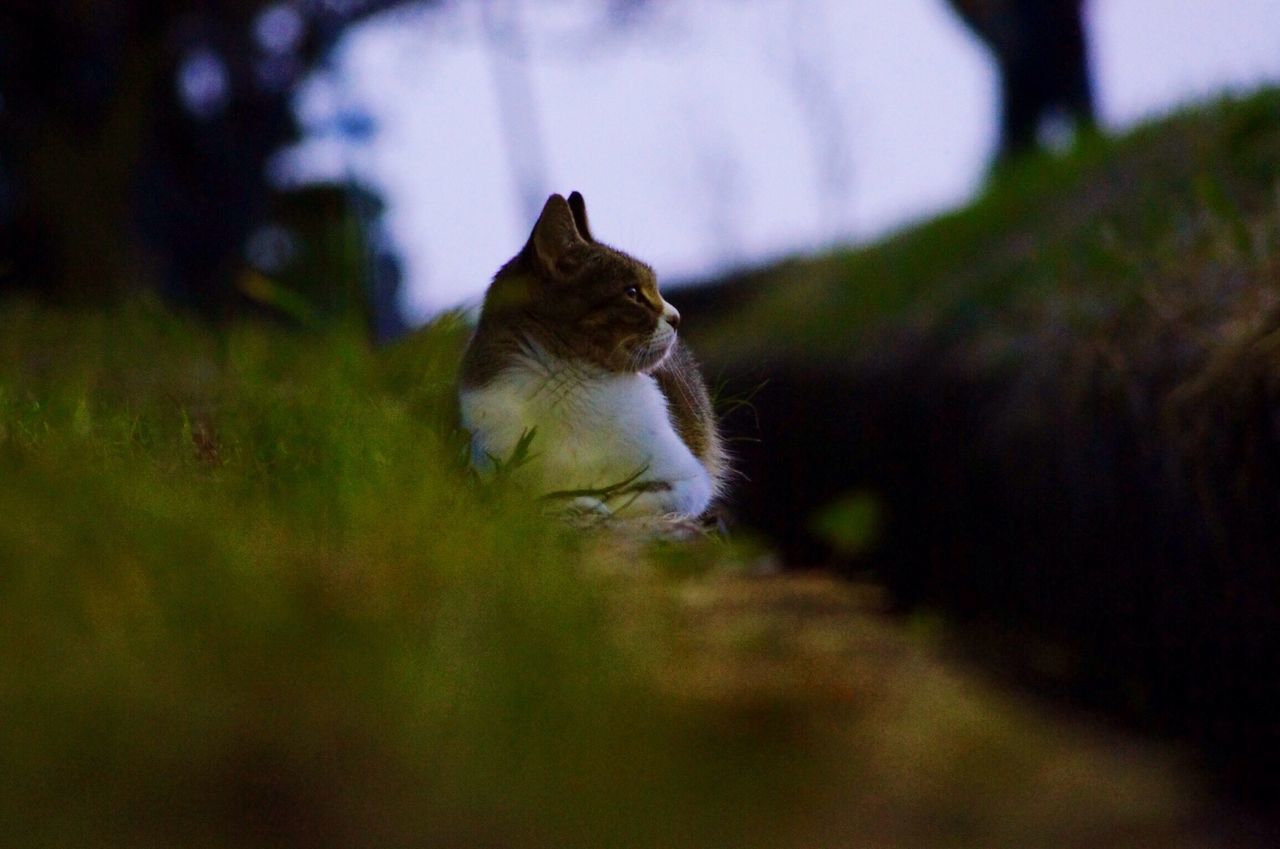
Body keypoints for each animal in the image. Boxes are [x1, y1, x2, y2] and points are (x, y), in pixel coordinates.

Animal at [460, 192, 727, 517]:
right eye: (632, 293)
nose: (676, 317)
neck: (571, 379)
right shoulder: (490, 481)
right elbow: (536, 499)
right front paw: (575, 501)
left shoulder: (689, 480)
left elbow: (631, 501)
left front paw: (594, 501)